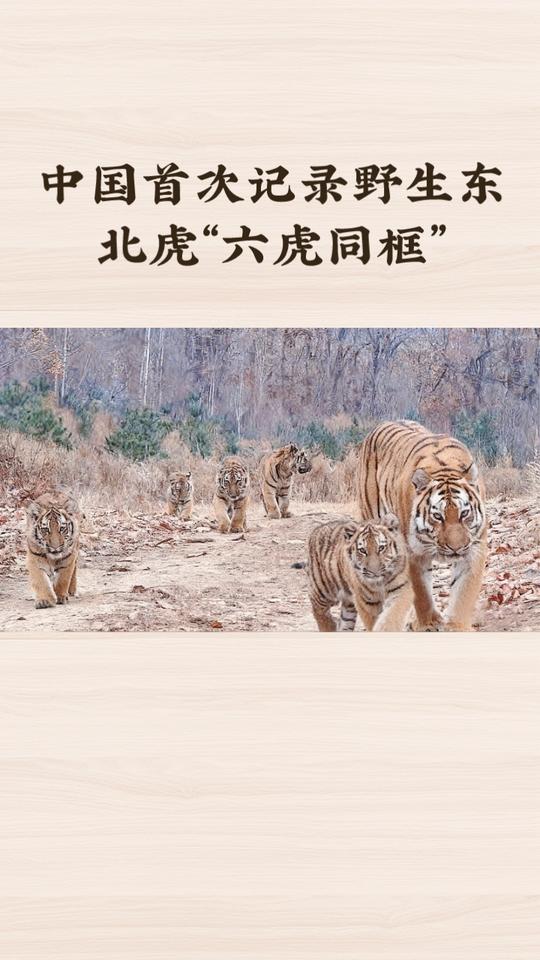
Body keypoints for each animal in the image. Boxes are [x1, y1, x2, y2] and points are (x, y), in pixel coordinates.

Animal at [357, 420, 488, 631]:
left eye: (464, 513)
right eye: (437, 516)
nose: (456, 548)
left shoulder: (474, 549)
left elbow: (464, 593)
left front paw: (457, 626)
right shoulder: (412, 553)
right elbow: (421, 593)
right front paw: (429, 623)